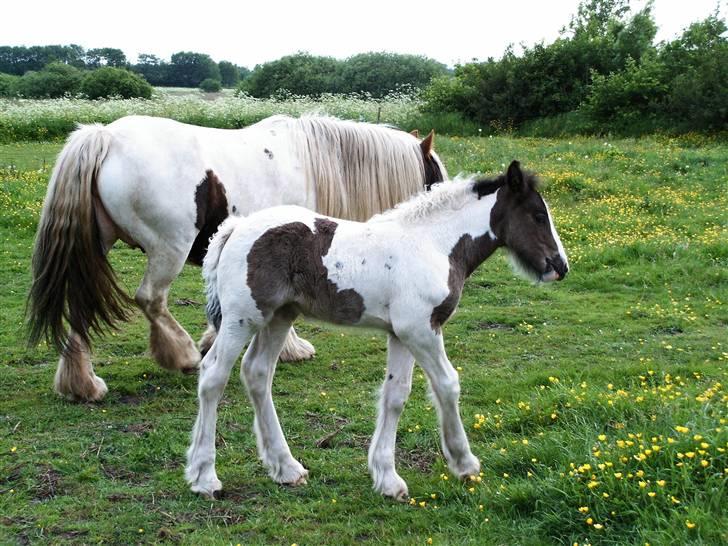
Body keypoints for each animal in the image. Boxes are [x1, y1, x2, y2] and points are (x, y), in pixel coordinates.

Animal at [28, 113, 446, 400]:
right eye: (436, 180)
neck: (310, 161)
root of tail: (106, 137)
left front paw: (213, 338)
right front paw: (291, 349)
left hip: (96, 249)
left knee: (80, 306)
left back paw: (82, 383)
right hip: (168, 249)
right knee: (151, 299)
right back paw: (180, 354)